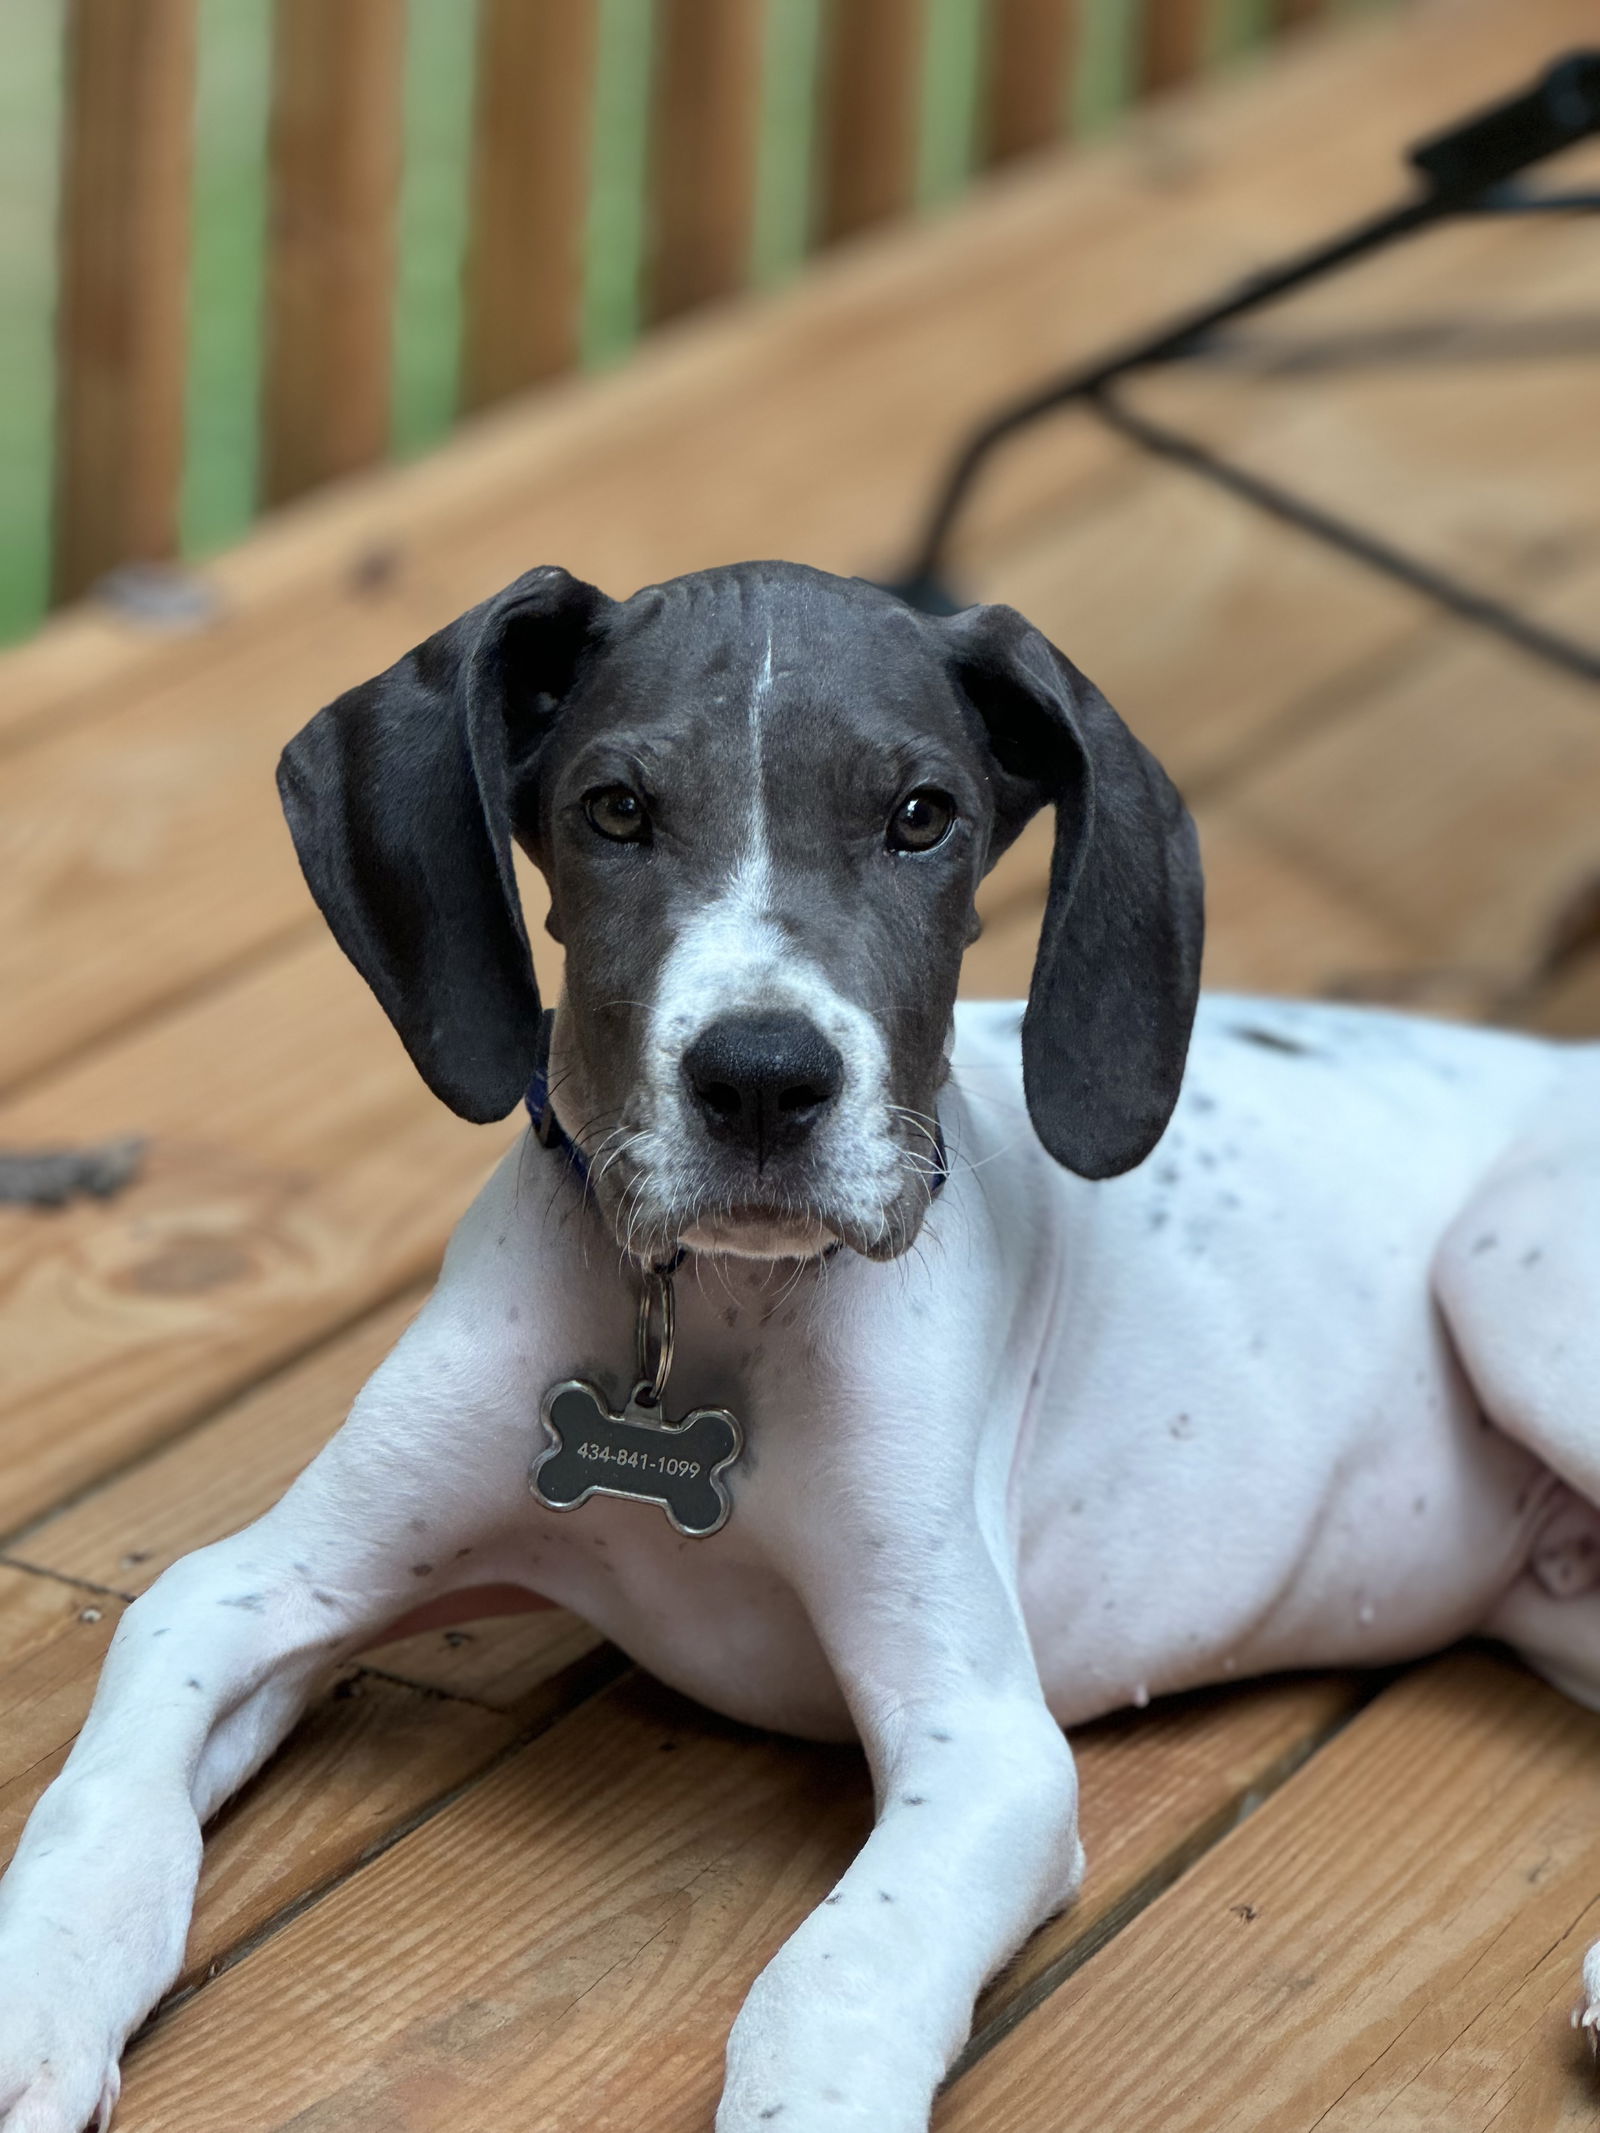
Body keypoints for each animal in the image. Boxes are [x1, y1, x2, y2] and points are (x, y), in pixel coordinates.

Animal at [3, 563, 1600, 2133]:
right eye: (616, 810)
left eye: (921, 816)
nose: (765, 1080)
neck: (705, 1307)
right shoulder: (250, 1590)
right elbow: (106, 1797)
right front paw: (38, 2004)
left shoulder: (984, 1745)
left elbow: (834, 1976)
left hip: (1514, 1302)